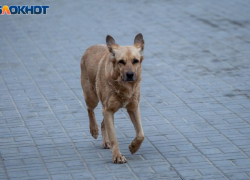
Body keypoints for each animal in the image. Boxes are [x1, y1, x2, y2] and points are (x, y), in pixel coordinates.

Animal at [80, 33, 145, 163]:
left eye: (135, 61)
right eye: (121, 62)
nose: (130, 75)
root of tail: (90, 47)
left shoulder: (133, 107)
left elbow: (141, 134)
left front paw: (133, 147)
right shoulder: (108, 110)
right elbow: (114, 137)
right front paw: (117, 156)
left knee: (102, 123)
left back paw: (105, 142)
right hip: (92, 97)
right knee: (90, 110)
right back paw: (94, 130)